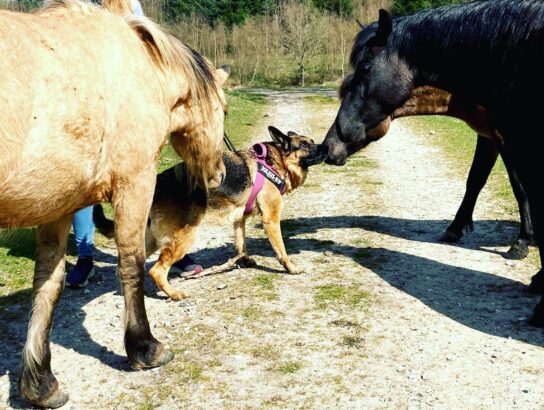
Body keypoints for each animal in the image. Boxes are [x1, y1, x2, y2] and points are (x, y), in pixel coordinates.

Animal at [0, 0, 226, 406]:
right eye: (224, 110)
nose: (219, 174)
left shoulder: (56, 206)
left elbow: (48, 285)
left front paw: (41, 383)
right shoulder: (135, 183)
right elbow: (132, 263)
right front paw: (145, 348)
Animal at [92, 126, 328, 300]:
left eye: (312, 141)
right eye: (305, 145)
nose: (326, 147)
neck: (274, 161)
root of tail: (157, 185)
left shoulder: (239, 219)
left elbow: (241, 244)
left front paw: (244, 261)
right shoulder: (271, 219)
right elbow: (281, 250)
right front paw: (291, 268)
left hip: (151, 239)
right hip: (183, 237)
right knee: (156, 270)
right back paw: (174, 294)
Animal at [324, 1, 544, 326]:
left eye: (364, 69)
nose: (329, 145)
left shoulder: (508, 139)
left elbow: (520, 189)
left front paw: (522, 245)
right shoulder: (490, 136)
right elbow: (476, 180)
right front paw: (457, 228)